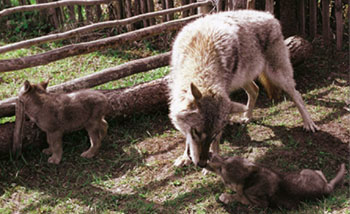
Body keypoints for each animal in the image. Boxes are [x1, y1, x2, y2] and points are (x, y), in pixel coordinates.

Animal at [168, 9, 318, 167]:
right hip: (243, 78)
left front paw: (213, 160)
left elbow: (215, 144)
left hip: (278, 76)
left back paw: (309, 123)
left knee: (297, 95)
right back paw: (247, 117)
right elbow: (186, 138)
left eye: (214, 134)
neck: (201, 54)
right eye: (196, 132)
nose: (202, 163)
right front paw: (185, 157)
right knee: (255, 90)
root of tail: (269, 15)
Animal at [206, 153, 346, 210]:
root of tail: (326, 187)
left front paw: (226, 196)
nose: (210, 155)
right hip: (306, 171)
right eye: (226, 157)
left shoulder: (259, 203)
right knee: (320, 172)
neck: (251, 179)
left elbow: (240, 197)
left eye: (221, 170)